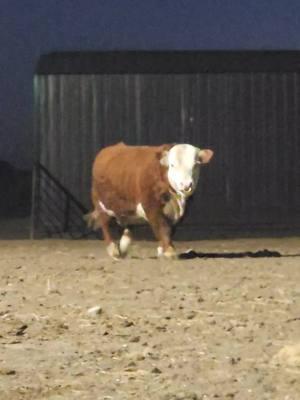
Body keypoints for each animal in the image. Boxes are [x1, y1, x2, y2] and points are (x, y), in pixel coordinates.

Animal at [85, 142, 214, 258]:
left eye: (196, 165)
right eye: (172, 165)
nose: (186, 185)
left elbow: (170, 229)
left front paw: (162, 249)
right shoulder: (151, 207)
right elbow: (162, 226)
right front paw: (169, 250)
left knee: (125, 225)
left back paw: (123, 246)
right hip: (99, 202)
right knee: (104, 223)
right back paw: (113, 249)